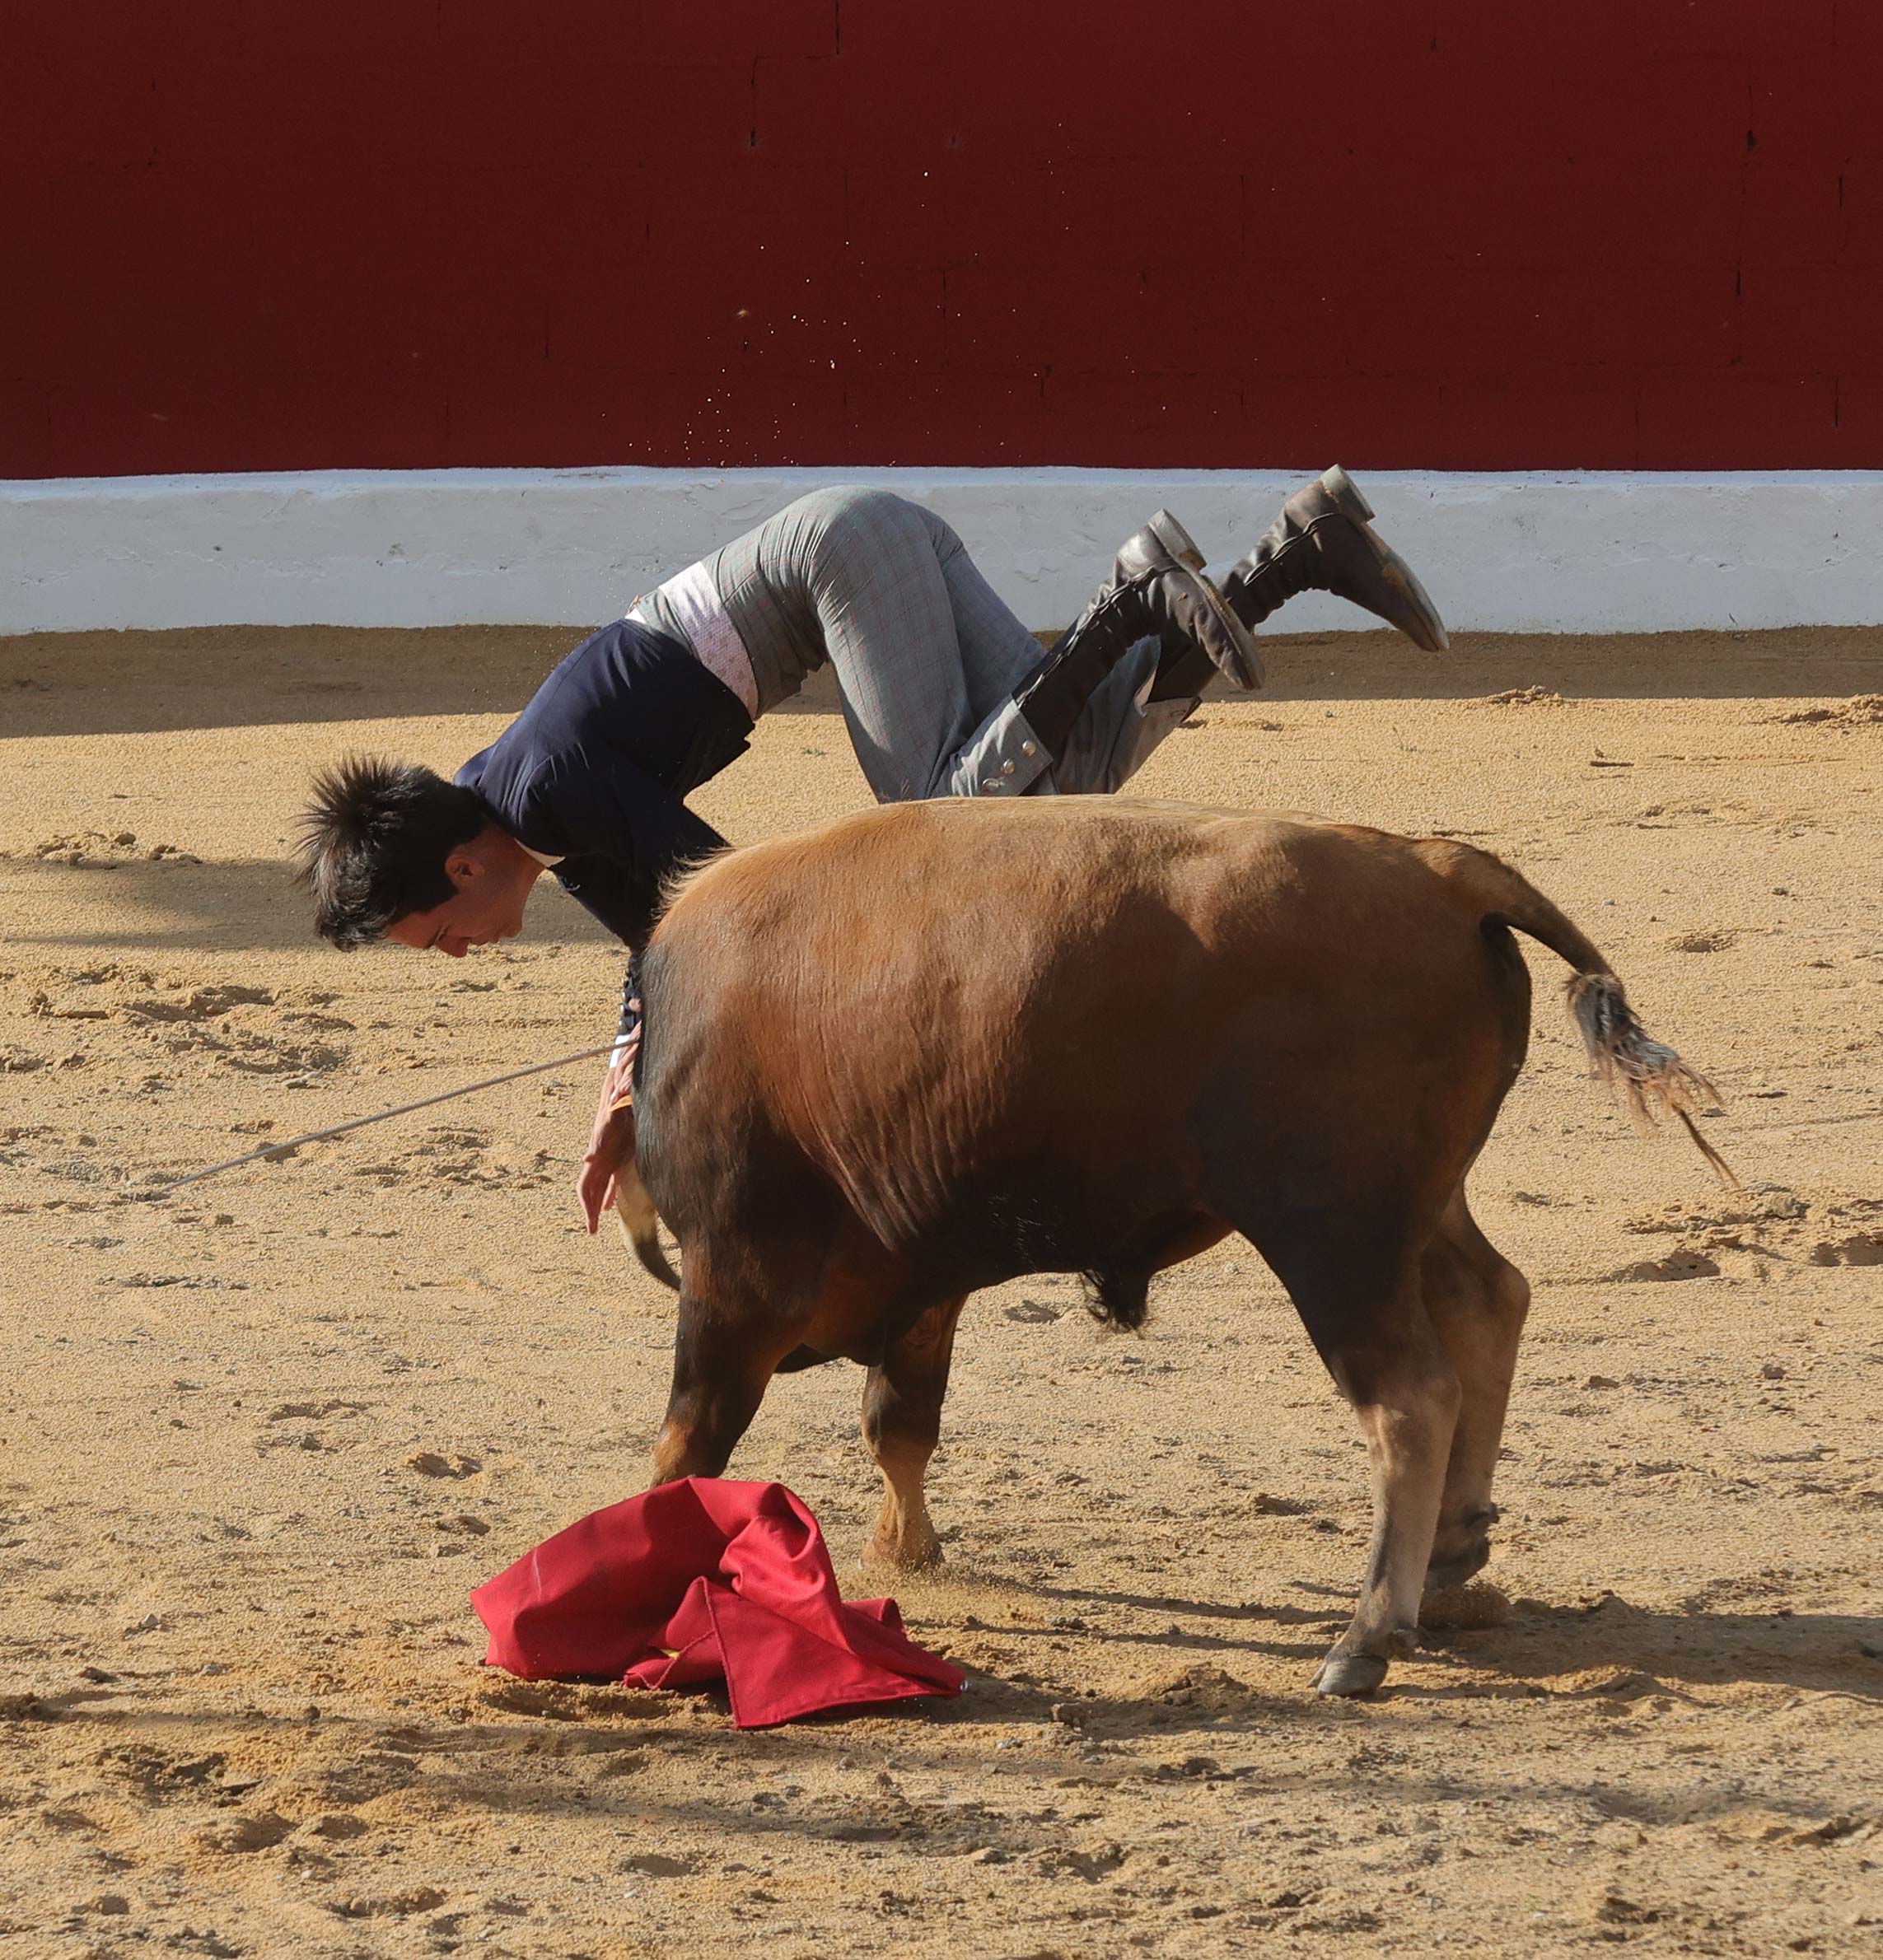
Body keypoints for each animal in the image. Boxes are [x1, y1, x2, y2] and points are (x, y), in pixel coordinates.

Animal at [611, 791, 1724, 1685]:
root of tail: (1439, 870)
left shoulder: (737, 1281)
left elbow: (688, 1445)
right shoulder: (923, 1278)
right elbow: (899, 1425)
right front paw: (904, 1549)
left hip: (1335, 1238)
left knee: (1410, 1398)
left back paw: (1367, 1634)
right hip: (1419, 1211)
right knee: (1489, 1300)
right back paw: (1453, 1555)